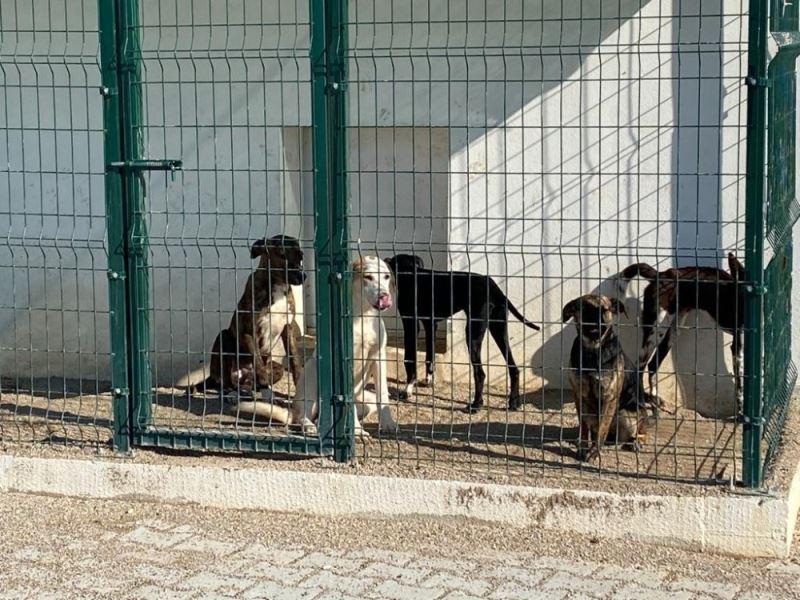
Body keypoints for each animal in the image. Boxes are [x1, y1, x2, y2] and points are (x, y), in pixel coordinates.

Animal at [290, 255, 398, 438]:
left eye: (386, 277)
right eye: (368, 277)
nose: (384, 295)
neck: (363, 316)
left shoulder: (378, 356)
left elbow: (383, 394)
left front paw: (388, 423)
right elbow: (349, 401)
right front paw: (357, 430)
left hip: (366, 400)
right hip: (311, 377)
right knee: (301, 414)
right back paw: (310, 425)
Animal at [384, 253, 540, 412]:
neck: (412, 275)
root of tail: (492, 286)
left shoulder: (411, 325)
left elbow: (409, 359)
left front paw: (407, 389)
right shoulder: (431, 325)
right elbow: (429, 356)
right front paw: (429, 379)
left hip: (473, 334)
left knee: (480, 373)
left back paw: (476, 404)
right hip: (499, 330)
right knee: (514, 369)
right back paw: (514, 402)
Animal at [560, 292, 660, 462]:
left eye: (604, 309)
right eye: (584, 307)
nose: (596, 318)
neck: (593, 351)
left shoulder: (609, 396)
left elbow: (602, 429)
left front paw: (594, 452)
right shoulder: (579, 394)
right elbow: (583, 427)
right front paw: (583, 447)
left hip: (627, 414)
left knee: (639, 431)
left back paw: (636, 442)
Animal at [620, 252, 744, 412]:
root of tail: (661, 275)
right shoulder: (737, 350)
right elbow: (741, 387)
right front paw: (741, 413)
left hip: (672, 332)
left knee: (652, 365)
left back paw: (655, 400)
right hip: (656, 331)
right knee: (639, 367)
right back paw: (640, 402)